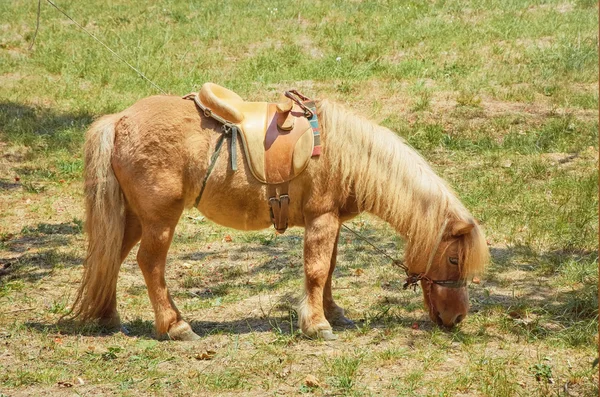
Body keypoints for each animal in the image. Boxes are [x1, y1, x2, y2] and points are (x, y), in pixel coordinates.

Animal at [68, 93, 490, 340]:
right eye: (454, 259)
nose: (457, 319)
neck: (345, 155)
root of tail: (119, 120)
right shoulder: (322, 219)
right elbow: (317, 270)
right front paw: (317, 325)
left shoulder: (332, 221)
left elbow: (329, 269)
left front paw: (333, 313)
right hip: (159, 221)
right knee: (149, 265)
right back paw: (176, 326)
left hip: (135, 219)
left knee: (111, 257)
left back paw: (108, 317)